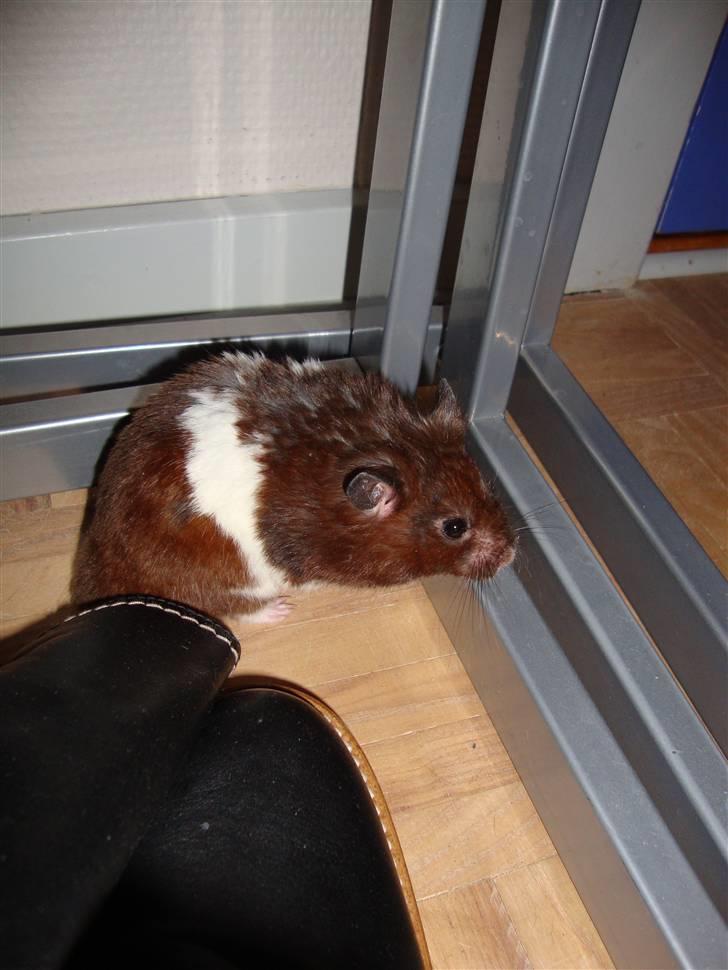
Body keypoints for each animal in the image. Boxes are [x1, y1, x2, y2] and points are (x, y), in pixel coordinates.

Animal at [71, 353, 515, 623]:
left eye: (488, 488)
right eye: (454, 528)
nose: (511, 556)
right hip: (221, 572)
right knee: (228, 605)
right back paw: (279, 610)